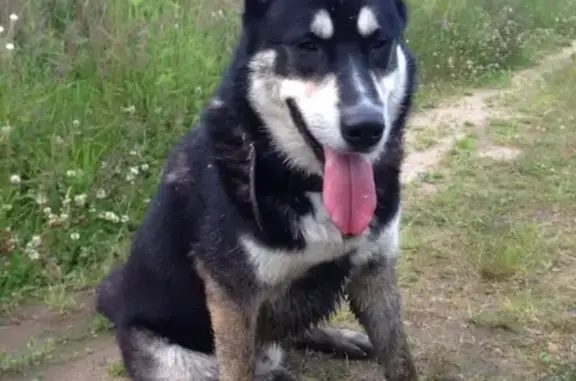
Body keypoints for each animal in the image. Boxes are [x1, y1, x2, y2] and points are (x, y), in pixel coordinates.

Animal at [95, 0, 418, 378]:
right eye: (307, 45)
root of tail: (116, 301)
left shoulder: (375, 271)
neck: (304, 183)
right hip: (173, 358)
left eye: (380, 43)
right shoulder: (232, 300)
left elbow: (400, 359)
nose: (366, 128)